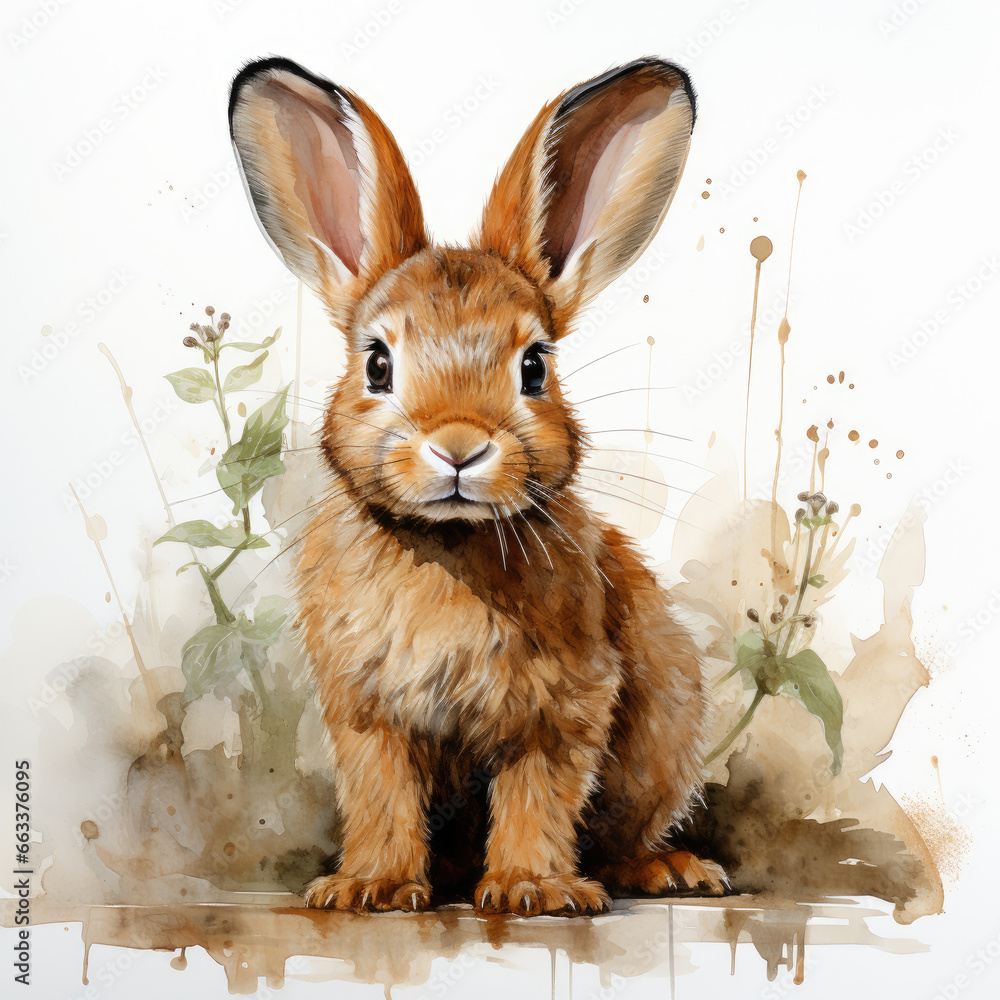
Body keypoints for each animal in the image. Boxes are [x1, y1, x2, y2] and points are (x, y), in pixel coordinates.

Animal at [229, 55, 726, 916]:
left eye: (533, 367)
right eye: (378, 364)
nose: (459, 445)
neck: (449, 544)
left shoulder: (565, 706)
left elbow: (538, 795)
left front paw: (534, 889)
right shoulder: (367, 712)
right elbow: (382, 795)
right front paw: (368, 887)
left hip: (664, 725)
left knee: (625, 836)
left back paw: (671, 870)